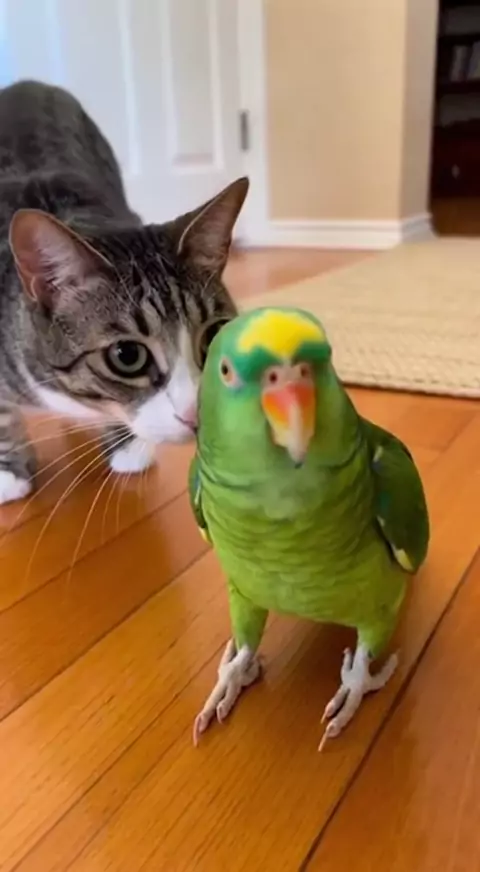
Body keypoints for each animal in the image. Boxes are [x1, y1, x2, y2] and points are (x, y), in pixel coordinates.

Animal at [0, 79, 248, 504]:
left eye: (213, 334)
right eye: (127, 356)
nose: (197, 415)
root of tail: (28, 83)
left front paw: (127, 445)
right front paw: (8, 473)